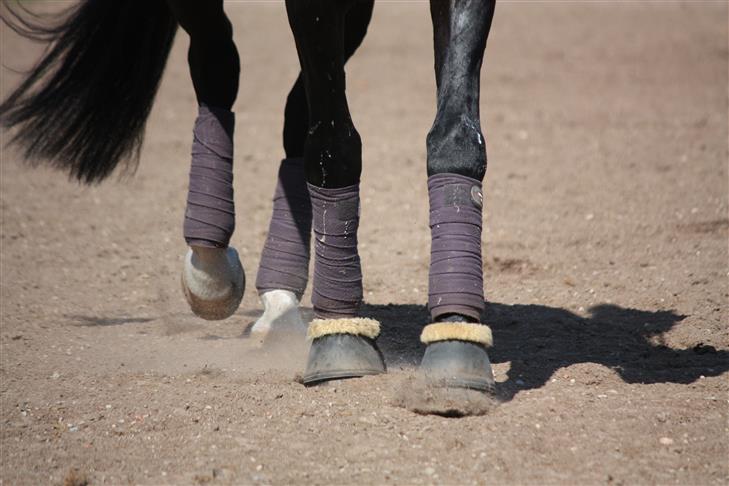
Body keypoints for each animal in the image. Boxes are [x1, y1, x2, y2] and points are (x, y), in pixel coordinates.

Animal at [0, 0, 498, 394]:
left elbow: (455, 136)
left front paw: (456, 333)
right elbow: (334, 146)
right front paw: (341, 336)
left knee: (294, 114)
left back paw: (280, 300)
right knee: (217, 61)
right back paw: (210, 268)